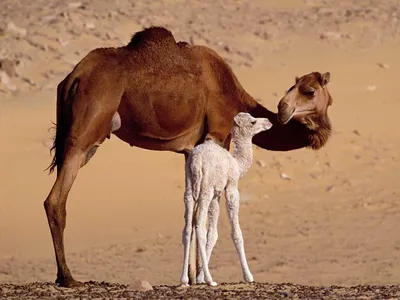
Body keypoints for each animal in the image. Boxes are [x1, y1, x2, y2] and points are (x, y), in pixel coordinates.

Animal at [180, 112, 272, 286]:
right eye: (253, 121)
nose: (269, 122)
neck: (237, 162)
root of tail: (196, 160)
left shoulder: (216, 195)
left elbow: (213, 234)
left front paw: (200, 278)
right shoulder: (231, 188)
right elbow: (236, 233)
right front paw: (248, 276)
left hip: (189, 187)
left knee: (187, 228)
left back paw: (184, 279)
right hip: (205, 189)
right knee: (199, 226)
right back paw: (211, 280)